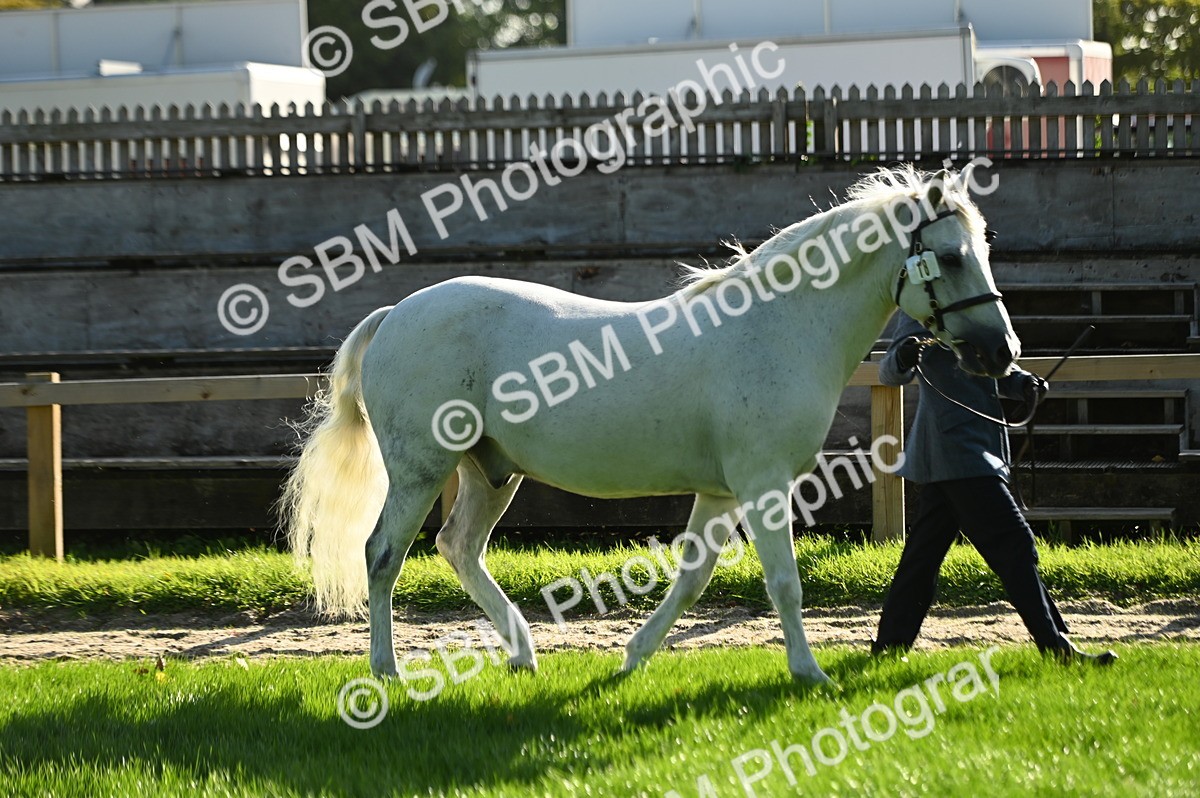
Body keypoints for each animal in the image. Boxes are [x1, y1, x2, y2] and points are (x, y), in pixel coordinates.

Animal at [282, 164, 1018, 686]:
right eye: (953, 257)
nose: (1001, 351)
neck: (778, 327)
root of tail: (396, 314)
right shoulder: (763, 484)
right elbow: (784, 582)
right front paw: (810, 674)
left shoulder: (720, 492)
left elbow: (693, 577)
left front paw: (633, 657)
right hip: (420, 470)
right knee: (383, 555)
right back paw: (387, 671)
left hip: (491, 473)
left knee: (459, 547)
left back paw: (523, 655)